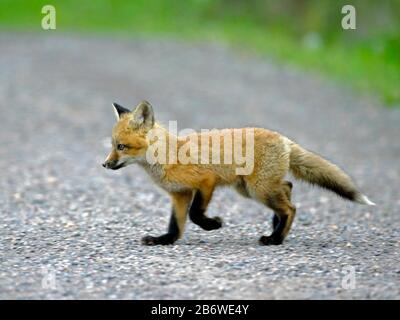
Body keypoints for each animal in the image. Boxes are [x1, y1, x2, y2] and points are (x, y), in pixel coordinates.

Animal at [103, 101, 376, 246]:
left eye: (121, 147)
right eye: (112, 145)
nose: (104, 164)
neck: (170, 156)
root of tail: (283, 139)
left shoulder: (206, 182)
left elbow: (195, 214)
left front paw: (213, 225)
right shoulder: (179, 194)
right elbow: (176, 225)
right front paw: (164, 240)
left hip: (258, 189)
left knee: (291, 208)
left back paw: (275, 238)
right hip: (249, 189)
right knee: (288, 188)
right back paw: (276, 226)